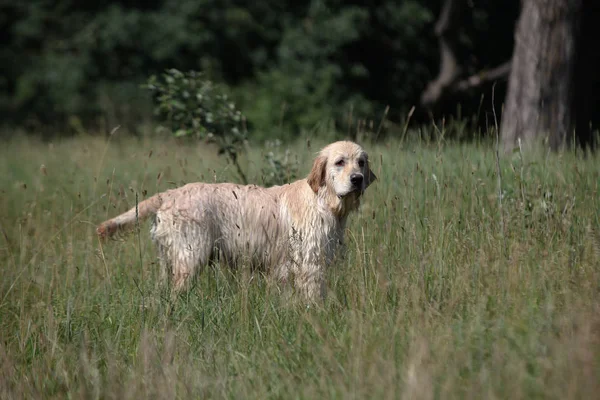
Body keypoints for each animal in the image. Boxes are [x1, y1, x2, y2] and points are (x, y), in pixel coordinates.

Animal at [96, 141, 378, 300]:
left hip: (170, 261)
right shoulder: (309, 265)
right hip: (190, 259)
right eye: (339, 162)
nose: (357, 179)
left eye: (361, 162)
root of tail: (170, 194)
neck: (323, 201)